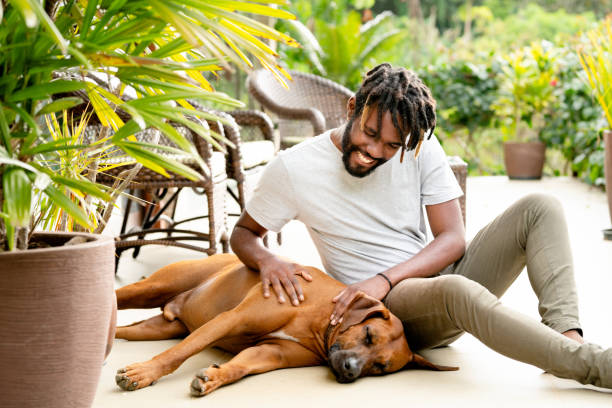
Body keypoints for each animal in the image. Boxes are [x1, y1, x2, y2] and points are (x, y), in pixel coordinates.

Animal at [116, 253, 460, 396]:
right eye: (368, 334)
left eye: (380, 368)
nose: (350, 370)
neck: (316, 319)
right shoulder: (229, 319)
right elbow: (178, 354)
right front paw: (144, 373)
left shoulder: (271, 352)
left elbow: (241, 366)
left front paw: (214, 377)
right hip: (151, 288)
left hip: (155, 328)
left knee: (115, 330)